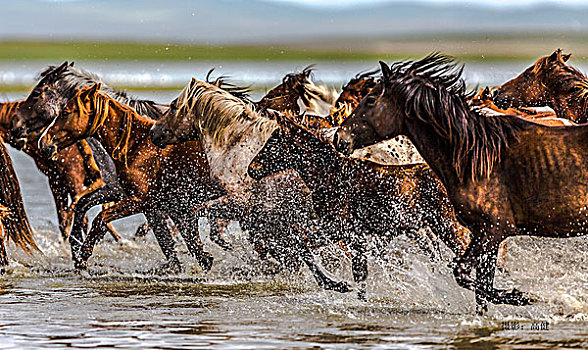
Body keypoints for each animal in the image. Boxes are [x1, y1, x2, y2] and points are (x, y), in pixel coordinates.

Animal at [39, 83, 226, 272]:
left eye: (65, 112)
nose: (44, 143)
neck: (136, 147)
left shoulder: (139, 201)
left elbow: (101, 217)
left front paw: (82, 257)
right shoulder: (152, 205)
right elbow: (175, 244)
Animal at [248, 114, 468, 298]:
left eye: (273, 143)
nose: (251, 169)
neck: (325, 177)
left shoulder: (342, 228)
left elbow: (302, 245)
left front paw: (339, 285)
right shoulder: (351, 232)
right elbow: (357, 273)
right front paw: (343, 287)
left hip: (449, 225)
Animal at [334, 54, 588, 312]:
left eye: (370, 100)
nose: (339, 138)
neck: (476, 155)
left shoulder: (493, 230)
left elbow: (465, 275)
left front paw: (526, 297)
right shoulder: (483, 234)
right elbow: (480, 288)